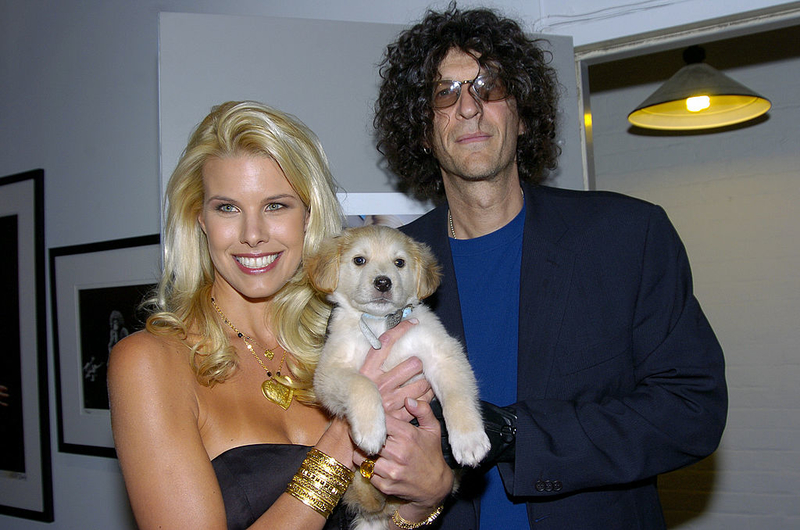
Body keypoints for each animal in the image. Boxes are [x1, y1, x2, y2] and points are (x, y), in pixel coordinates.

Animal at [306, 224, 490, 528]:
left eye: (399, 263)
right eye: (359, 260)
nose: (383, 282)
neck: (381, 325)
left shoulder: (442, 354)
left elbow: (457, 395)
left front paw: (469, 439)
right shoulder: (330, 370)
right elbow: (362, 383)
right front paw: (371, 430)